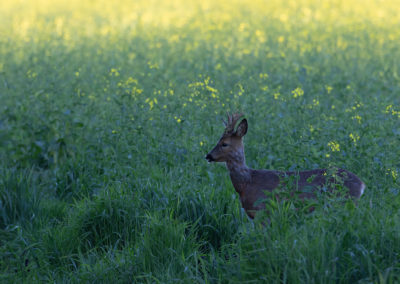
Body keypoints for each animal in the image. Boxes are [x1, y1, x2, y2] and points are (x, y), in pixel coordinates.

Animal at [206, 113, 366, 220]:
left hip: (343, 202)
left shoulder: (263, 209)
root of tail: (361, 184)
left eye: (224, 143)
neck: (247, 183)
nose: (208, 156)